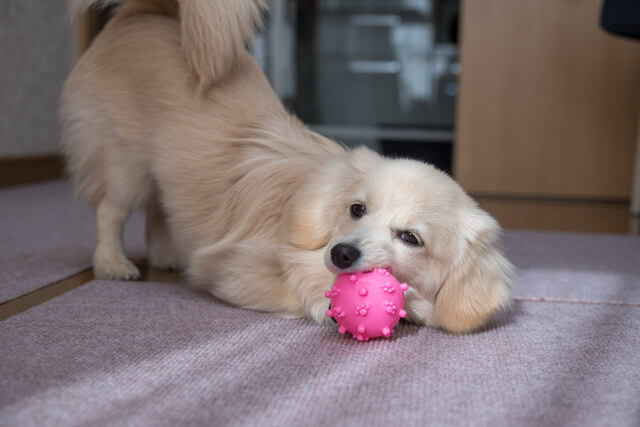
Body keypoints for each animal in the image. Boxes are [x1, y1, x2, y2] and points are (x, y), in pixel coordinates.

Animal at [58, 0, 510, 334]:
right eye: (357, 210)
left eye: (411, 238)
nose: (342, 252)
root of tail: (149, 14)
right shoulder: (231, 270)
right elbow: (302, 291)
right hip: (125, 162)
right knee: (111, 212)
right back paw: (112, 264)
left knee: (157, 208)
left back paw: (166, 255)